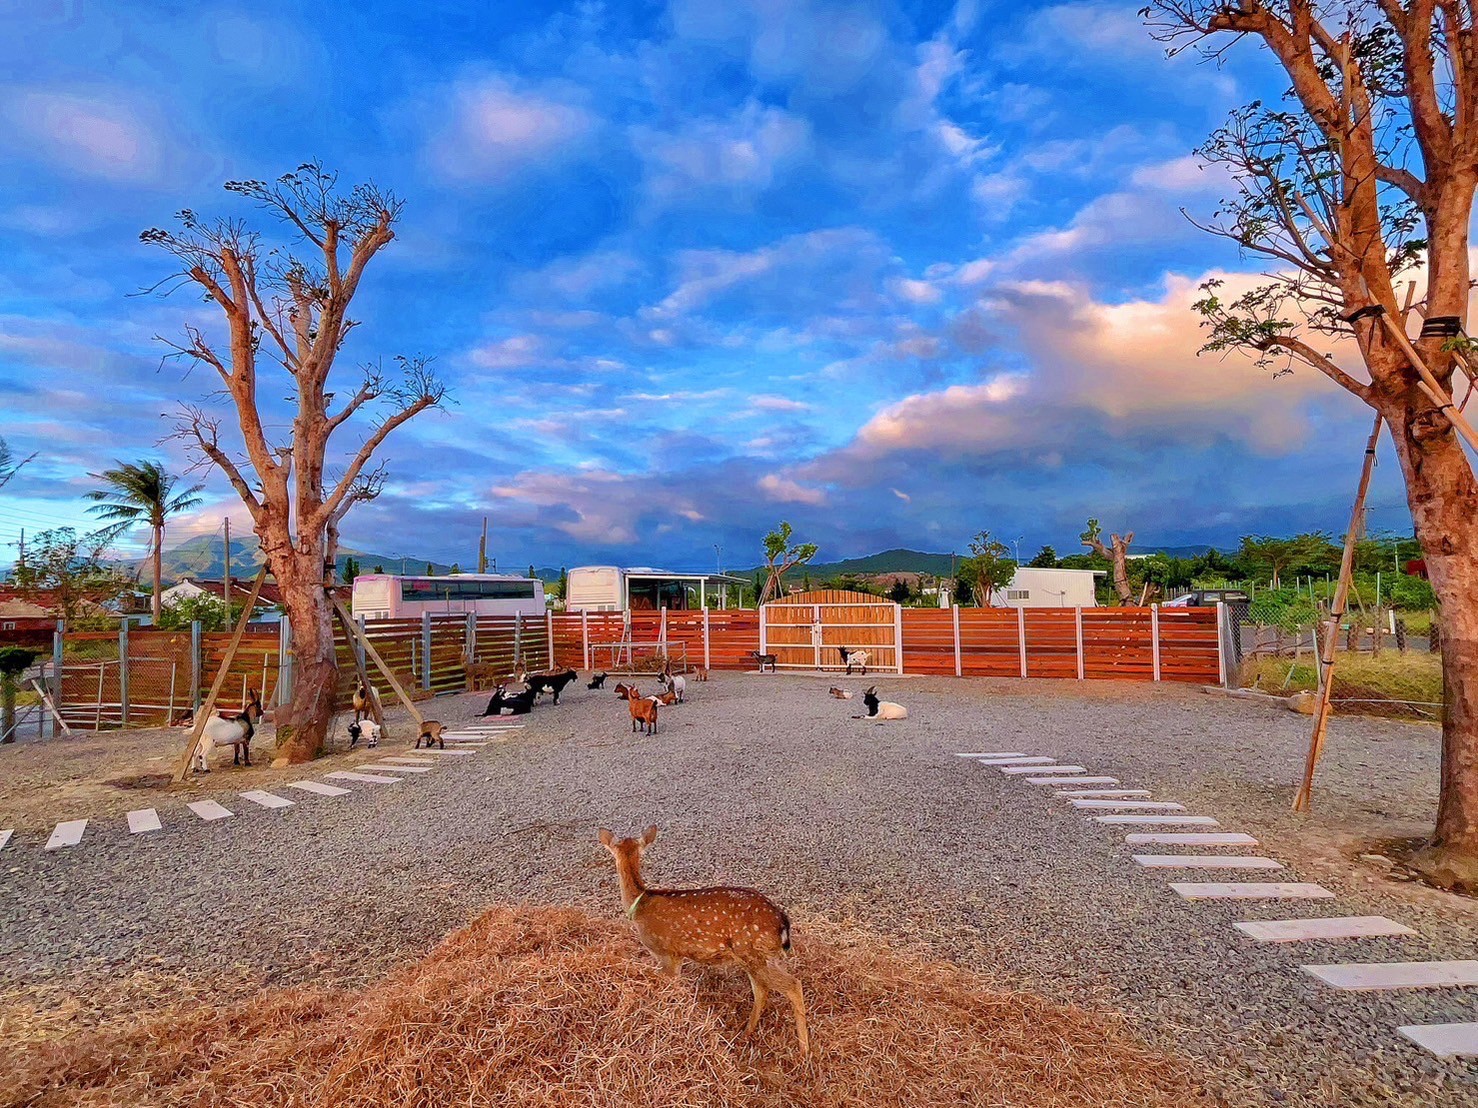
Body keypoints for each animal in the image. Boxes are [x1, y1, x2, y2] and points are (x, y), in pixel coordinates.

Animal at [597, 827, 815, 1063]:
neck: (640, 905)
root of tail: (782, 922)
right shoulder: (677, 956)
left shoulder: (666, 952)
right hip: (758, 955)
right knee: (763, 989)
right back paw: (746, 1033)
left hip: (752, 951)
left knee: (791, 985)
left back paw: (803, 1051)